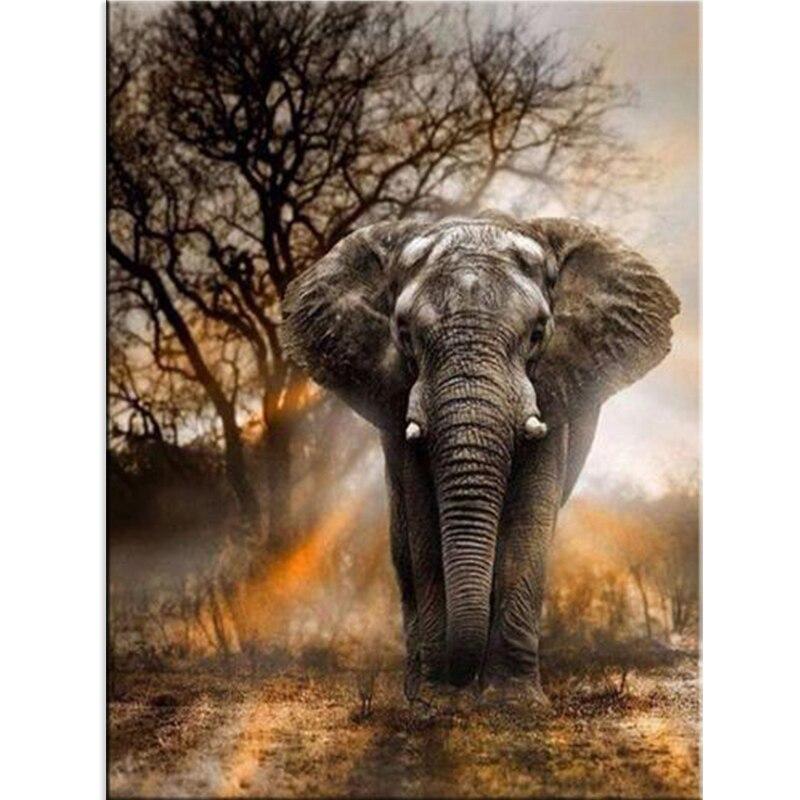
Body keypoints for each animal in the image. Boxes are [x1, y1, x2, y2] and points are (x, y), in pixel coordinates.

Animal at [283, 210, 679, 705]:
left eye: (537, 334)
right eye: (404, 335)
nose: (458, 681)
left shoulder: (552, 389)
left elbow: (528, 520)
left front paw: (515, 704)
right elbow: (424, 525)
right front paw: (438, 702)